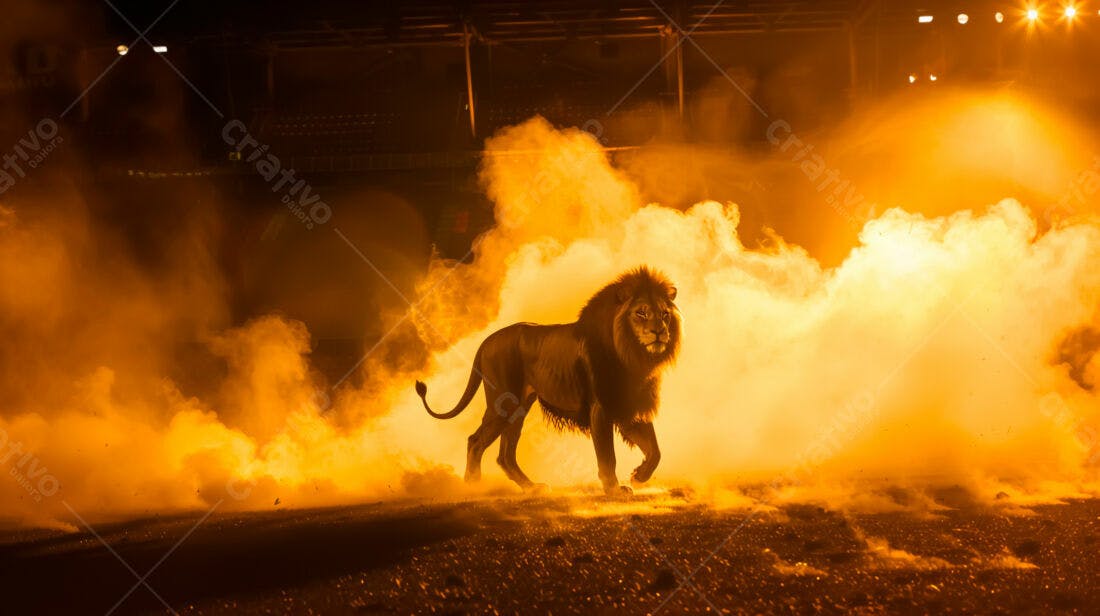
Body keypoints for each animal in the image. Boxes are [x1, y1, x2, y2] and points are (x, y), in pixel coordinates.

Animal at [415, 266, 680, 495]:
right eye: (641, 312)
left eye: (665, 314)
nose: (659, 331)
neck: (633, 356)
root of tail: (487, 340)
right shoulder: (600, 408)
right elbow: (607, 456)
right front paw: (614, 489)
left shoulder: (630, 406)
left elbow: (655, 450)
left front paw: (638, 476)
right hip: (504, 405)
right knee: (476, 441)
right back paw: (473, 486)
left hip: (519, 408)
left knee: (505, 454)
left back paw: (532, 487)